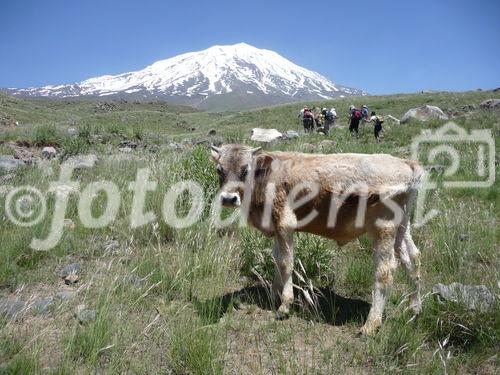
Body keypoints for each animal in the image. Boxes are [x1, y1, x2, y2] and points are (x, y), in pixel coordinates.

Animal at [209, 144, 424, 334]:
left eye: (245, 170)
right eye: (219, 170)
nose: (228, 199)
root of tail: (406, 163)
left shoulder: (285, 223)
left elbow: (286, 262)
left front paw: (284, 305)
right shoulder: (276, 227)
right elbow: (277, 259)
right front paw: (273, 294)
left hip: (383, 228)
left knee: (385, 271)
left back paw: (371, 325)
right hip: (402, 226)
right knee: (412, 259)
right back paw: (415, 308)